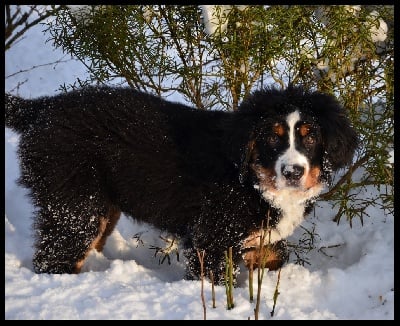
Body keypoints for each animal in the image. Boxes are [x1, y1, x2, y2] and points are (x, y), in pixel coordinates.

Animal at [5, 85, 356, 284]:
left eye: (310, 137)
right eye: (272, 137)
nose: (294, 172)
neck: (252, 179)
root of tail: (41, 108)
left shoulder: (261, 237)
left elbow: (274, 259)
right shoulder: (213, 237)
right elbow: (214, 280)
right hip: (77, 203)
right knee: (55, 257)